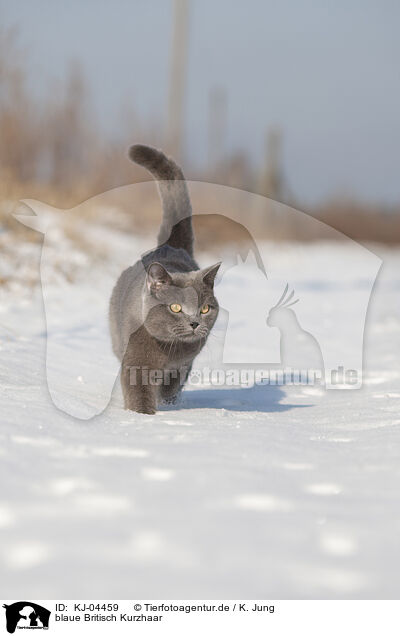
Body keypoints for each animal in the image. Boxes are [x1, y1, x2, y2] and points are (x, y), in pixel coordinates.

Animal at [108, 143, 222, 412]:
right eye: (175, 307)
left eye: (204, 309)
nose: (194, 322)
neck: (170, 350)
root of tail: (171, 246)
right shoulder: (136, 361)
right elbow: (139, 392)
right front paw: (142, 416)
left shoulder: (184, 363)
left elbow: (172, 385)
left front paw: (167, 403)